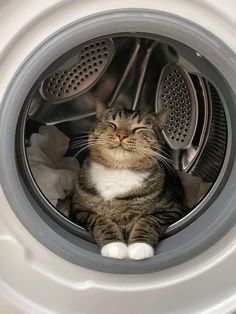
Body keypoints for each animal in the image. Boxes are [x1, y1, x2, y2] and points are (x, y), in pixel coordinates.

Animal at [71, 100, 187, 260]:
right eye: (112, 124)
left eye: (139, 128)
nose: (121, 135)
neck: (119, 171)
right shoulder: (79, 209)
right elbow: (99, 220)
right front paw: (114, 246)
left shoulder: (171, 208)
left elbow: (149, 221)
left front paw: (139, 247)